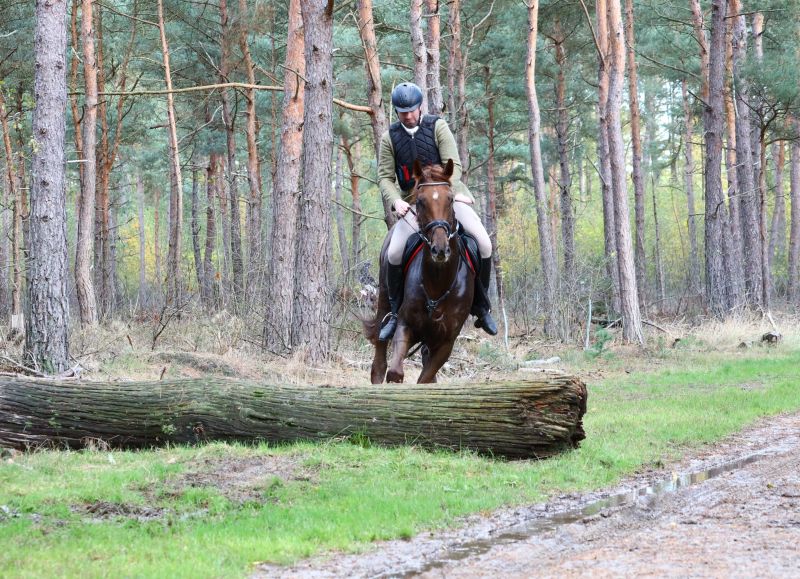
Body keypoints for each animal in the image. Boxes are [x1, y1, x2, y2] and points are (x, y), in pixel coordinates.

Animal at [364, 159, 475, 384]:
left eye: (450, 199)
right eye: (421, 201)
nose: (440, 249)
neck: (437, 284)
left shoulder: (446, 343)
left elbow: (425, 379)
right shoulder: (405, 326)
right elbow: (395, 373)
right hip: (384, 300)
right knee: (379, 354)